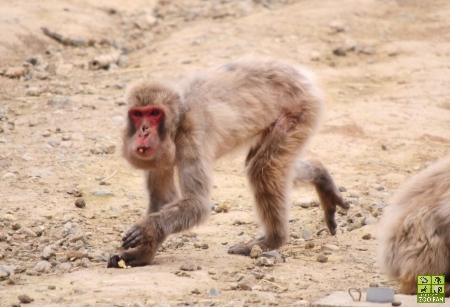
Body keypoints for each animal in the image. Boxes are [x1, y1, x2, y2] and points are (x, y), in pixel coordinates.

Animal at [106, 56, 348, 268]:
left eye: (154, 113)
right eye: (138, 114)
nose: (144, 131)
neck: (178, 121)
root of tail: (302, 75)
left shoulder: (193, 135)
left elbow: (197, 204)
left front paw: (146, 230)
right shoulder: (157, 155)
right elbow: (164, 198)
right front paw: (142, 254)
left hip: (302, 111)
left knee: (263, 168)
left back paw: (273, 240)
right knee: (268, 166)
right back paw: (320, 176)